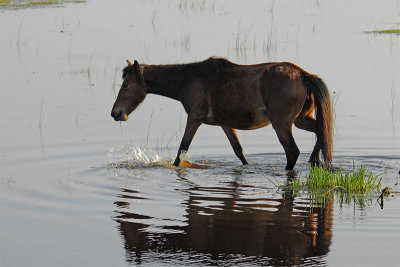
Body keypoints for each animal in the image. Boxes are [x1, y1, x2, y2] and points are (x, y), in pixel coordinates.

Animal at [111, 59, 332, 172]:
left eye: (126, 85)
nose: (115, 113)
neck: (189, 79)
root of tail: (303, 75)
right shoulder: (225, 123)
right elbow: (238, 151)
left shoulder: (194, 119)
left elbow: (182, 149)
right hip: (300, 120)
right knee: (321, 131)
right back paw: (315, 161)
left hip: (282, 124)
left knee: (292, 151)